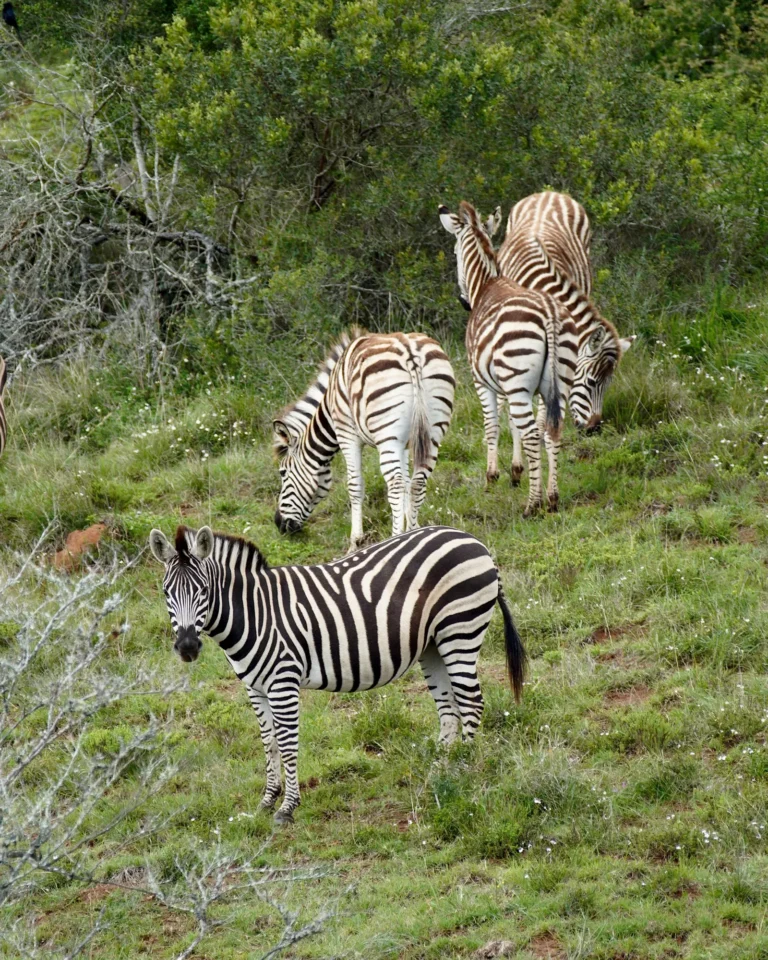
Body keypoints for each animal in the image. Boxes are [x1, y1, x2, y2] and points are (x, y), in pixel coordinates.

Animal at [149, 523, 527, 823]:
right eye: (167, 593)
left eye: (202, 591)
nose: (187, 647)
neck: (254, 612)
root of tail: (474, 541)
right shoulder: (255, 688)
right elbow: (268, 742)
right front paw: (266, 801)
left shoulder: (283, 682)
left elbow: (287, 743)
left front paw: (287, 807)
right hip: (433, 645)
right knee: (449, 710)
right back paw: (439, 774)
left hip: (460, 629)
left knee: (472, 703)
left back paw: (463, 770)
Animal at [273, 331, 455, 550]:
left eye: (283, 473)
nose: (278, 524)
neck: (330, 408)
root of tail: (409, 351)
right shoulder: (404, 444)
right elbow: (406, 480)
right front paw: (412, 528)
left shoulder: (346, 433)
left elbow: (355, 485)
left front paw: (355, 541)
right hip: (432, 431)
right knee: (417, 482)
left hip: (387, 435)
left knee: (395, 484)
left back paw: (394, 537)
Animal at [439, 200, 578, 514]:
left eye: (454, 253)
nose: (464, 302)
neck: (486, 284)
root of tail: (549, 313)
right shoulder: (508, 383)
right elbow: (514, 425)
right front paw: (517, 472)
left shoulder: (482, 381)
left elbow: (492, 425)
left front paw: (492, 477)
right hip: (558, 382)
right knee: (552, 431)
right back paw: (552, 498)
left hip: (519, 381)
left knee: (532, 433)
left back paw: (533, 505)